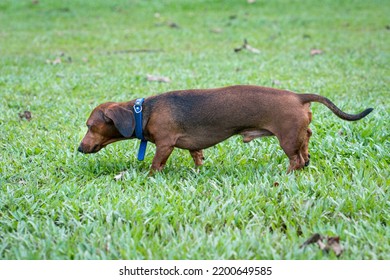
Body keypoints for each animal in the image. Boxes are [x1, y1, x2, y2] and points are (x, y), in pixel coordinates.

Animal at [77, 85, 374, 173]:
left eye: (90, 125)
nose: (79, 148)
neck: (143, 112)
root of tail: (298, 96)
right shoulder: (192, 146)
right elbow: (197, 156)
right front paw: (198, 170)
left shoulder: (165, 144)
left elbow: (156, 164)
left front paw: (150, 177)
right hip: (298, 134)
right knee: (307, 143)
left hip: (287, 139)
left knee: (296, 159)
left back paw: (288, 174)